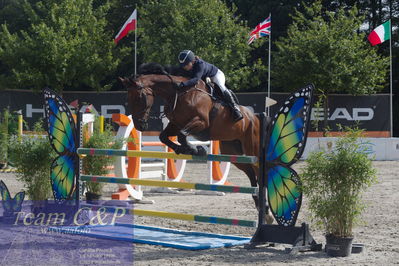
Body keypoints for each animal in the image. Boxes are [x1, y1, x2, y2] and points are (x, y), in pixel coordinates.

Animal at [119, 62, 276, 222]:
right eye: (128, 99)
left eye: (139, 97)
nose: (139, 126)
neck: (177, 94)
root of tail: (255, 117)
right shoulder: (175, 124)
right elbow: (164, 137)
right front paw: (184, 149)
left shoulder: (200, 122)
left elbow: (182, 136)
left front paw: (195, 149)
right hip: (234, 153)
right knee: (251, 175)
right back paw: (261, 208)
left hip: (253, 149)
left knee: (260, 175)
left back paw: (267, 211)